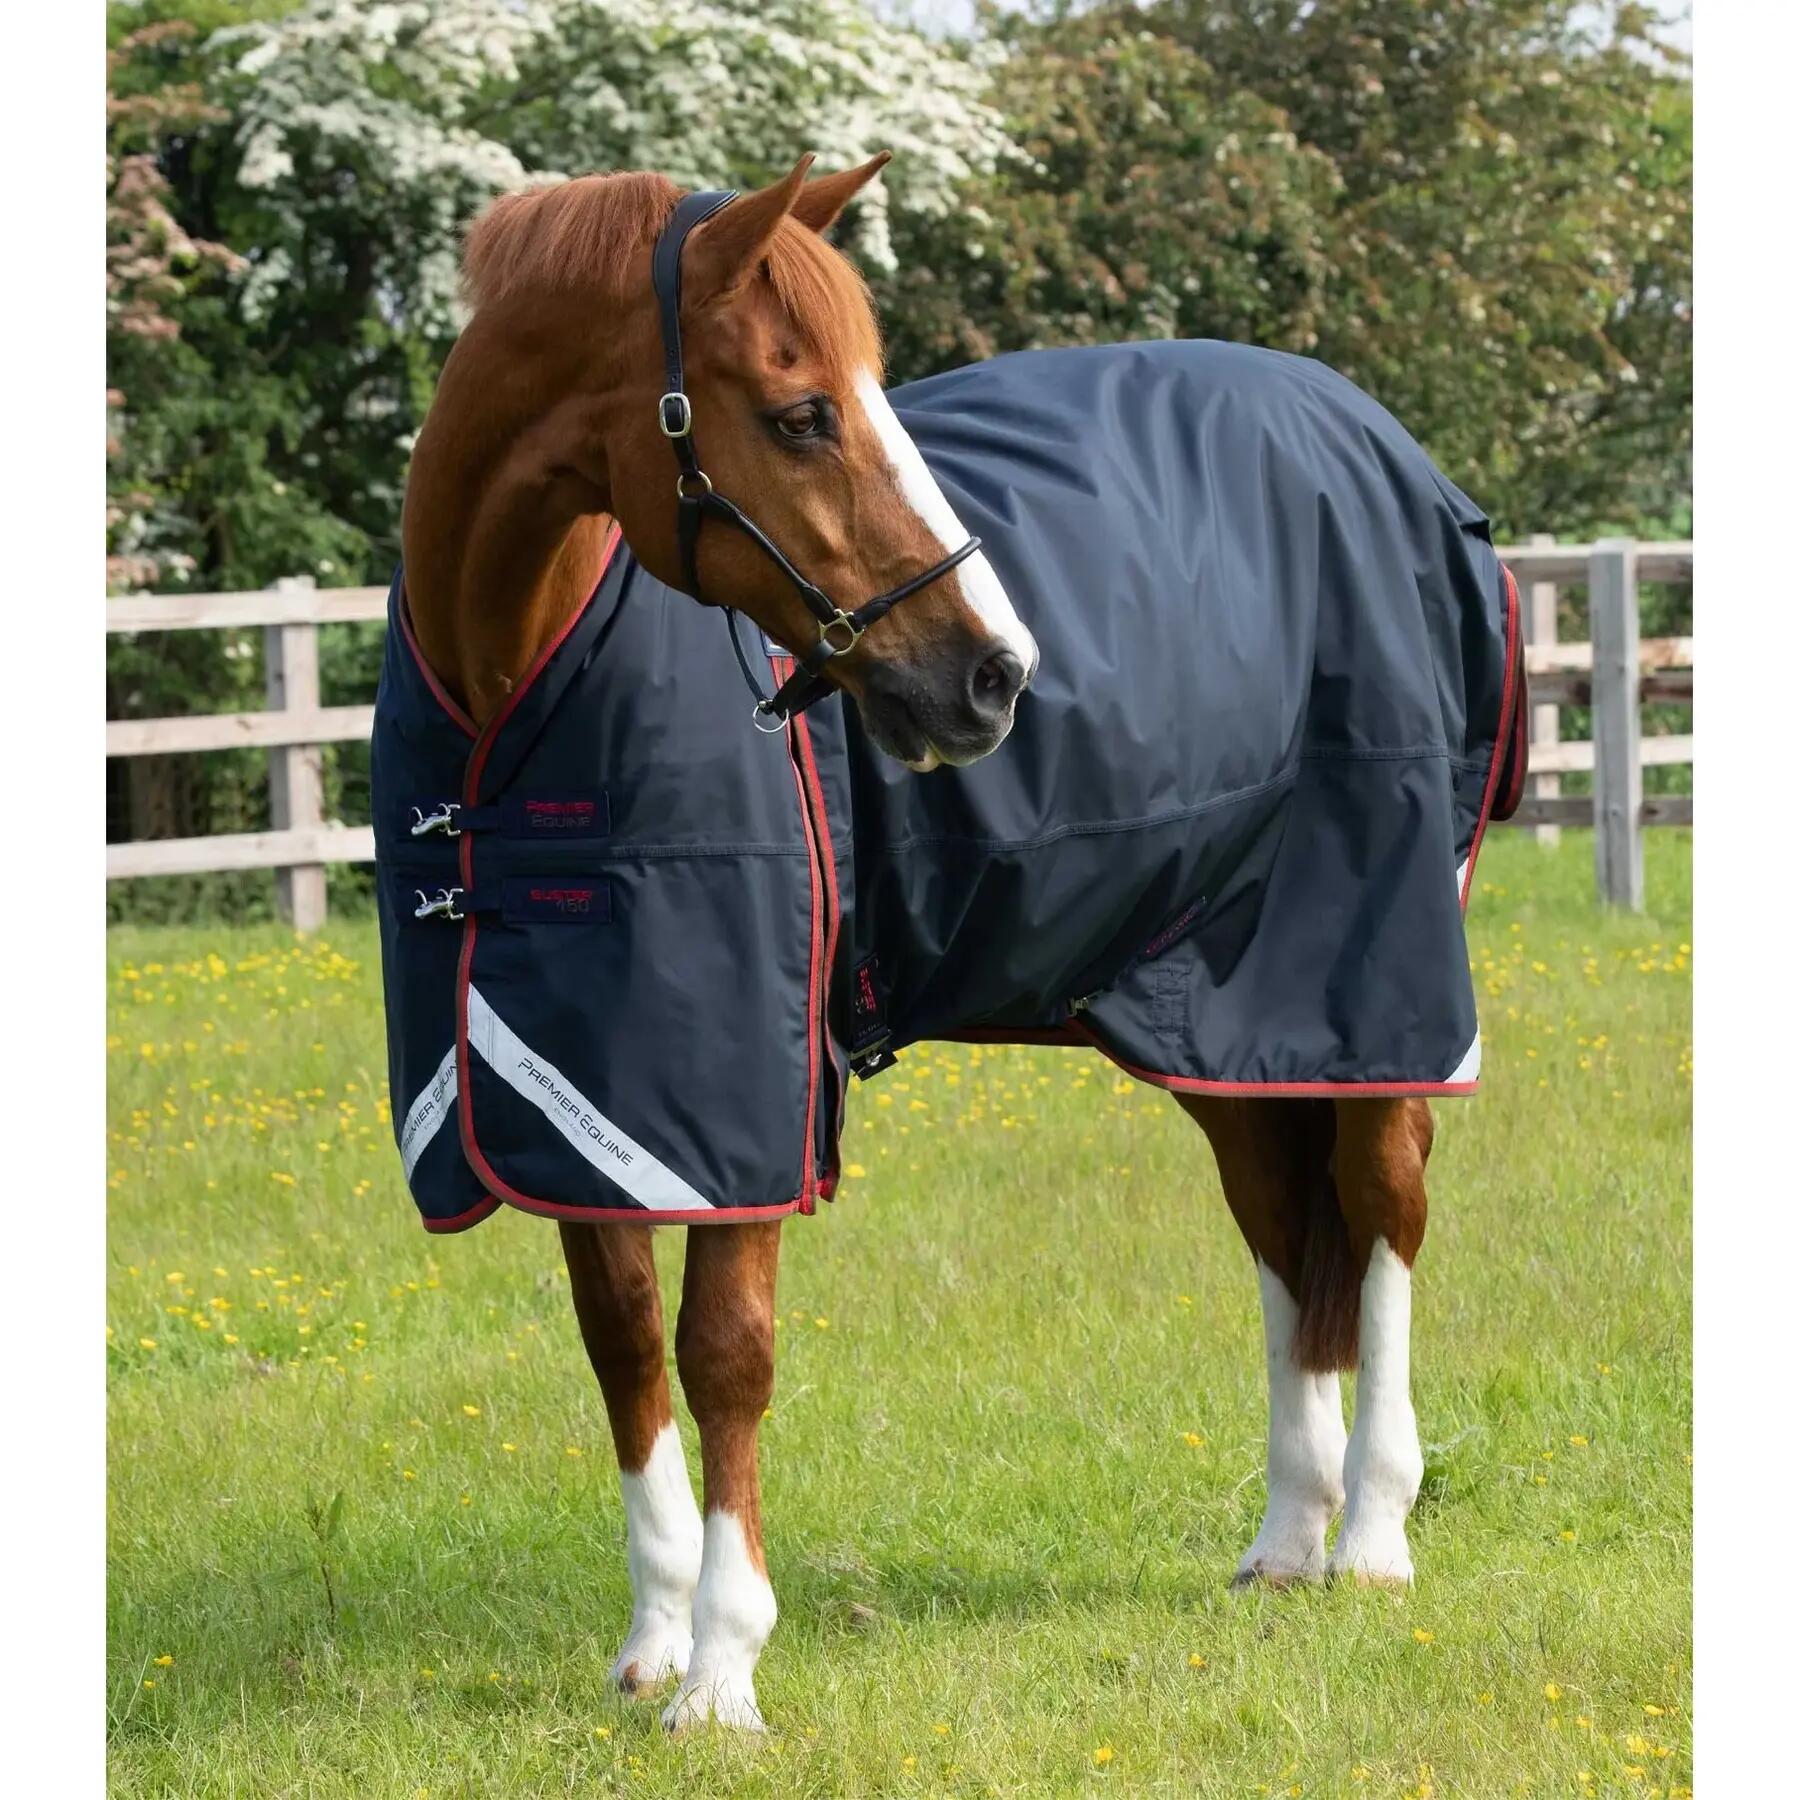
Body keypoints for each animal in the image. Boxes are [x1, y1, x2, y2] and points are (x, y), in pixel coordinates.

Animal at [380, 153, 1525, 1732]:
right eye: (802, 411)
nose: (998, 674)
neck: (512, 688)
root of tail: (1390, 450)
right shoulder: (573, 1092)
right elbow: (623, 1349)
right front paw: (657, 1638)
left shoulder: (743, 1103)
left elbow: (723, 1355)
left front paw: (724, 1674)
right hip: (1218, 1015)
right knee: (1288, 1232)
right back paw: (1286, 1541)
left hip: (1371, 970)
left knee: (1385, 1204)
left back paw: (1370, 1539)